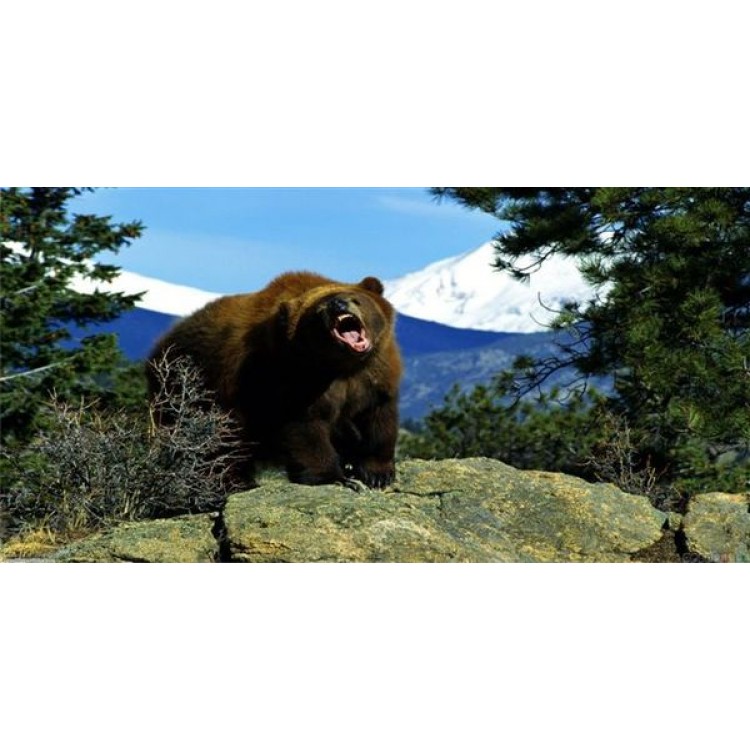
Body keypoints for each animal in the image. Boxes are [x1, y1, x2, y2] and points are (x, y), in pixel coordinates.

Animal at [146, 271, 402, 489]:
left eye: (354, 299)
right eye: (319, 310)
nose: (337, 304)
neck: (341, 365)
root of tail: (159, 346)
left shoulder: (374, 376)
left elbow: (378, 420)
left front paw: (376, 473)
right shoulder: (288, 378)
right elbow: (305, 428)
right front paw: (334, 477)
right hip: (191, 389)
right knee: (220, 446)